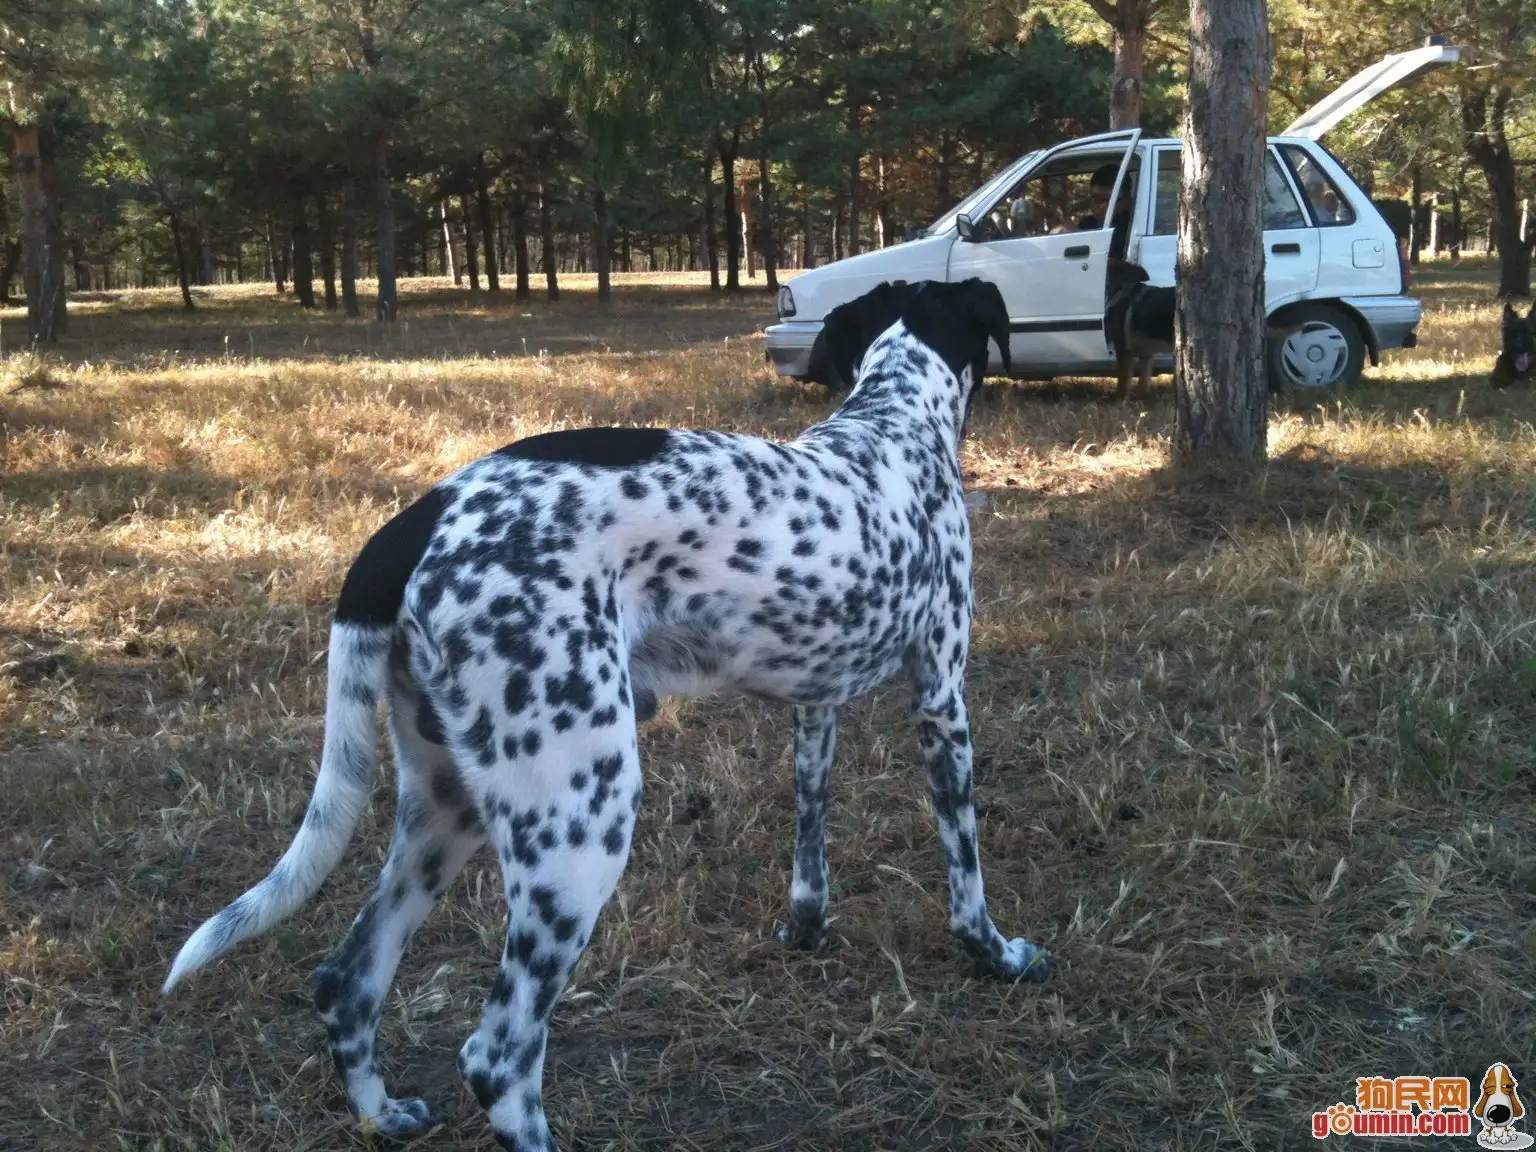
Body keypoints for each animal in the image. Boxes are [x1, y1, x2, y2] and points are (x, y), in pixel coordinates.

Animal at [165, 279, 1056, 1152]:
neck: (889, 428)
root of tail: (417, 520)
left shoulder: (814, 710)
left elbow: (810, 852)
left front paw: (806, 931)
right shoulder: (941, 700)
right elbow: (966, 879)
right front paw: (999, 956)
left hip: (446, 812)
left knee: (346, 983)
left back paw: (382, 1115)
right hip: (580, 824)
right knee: (497, 1059)